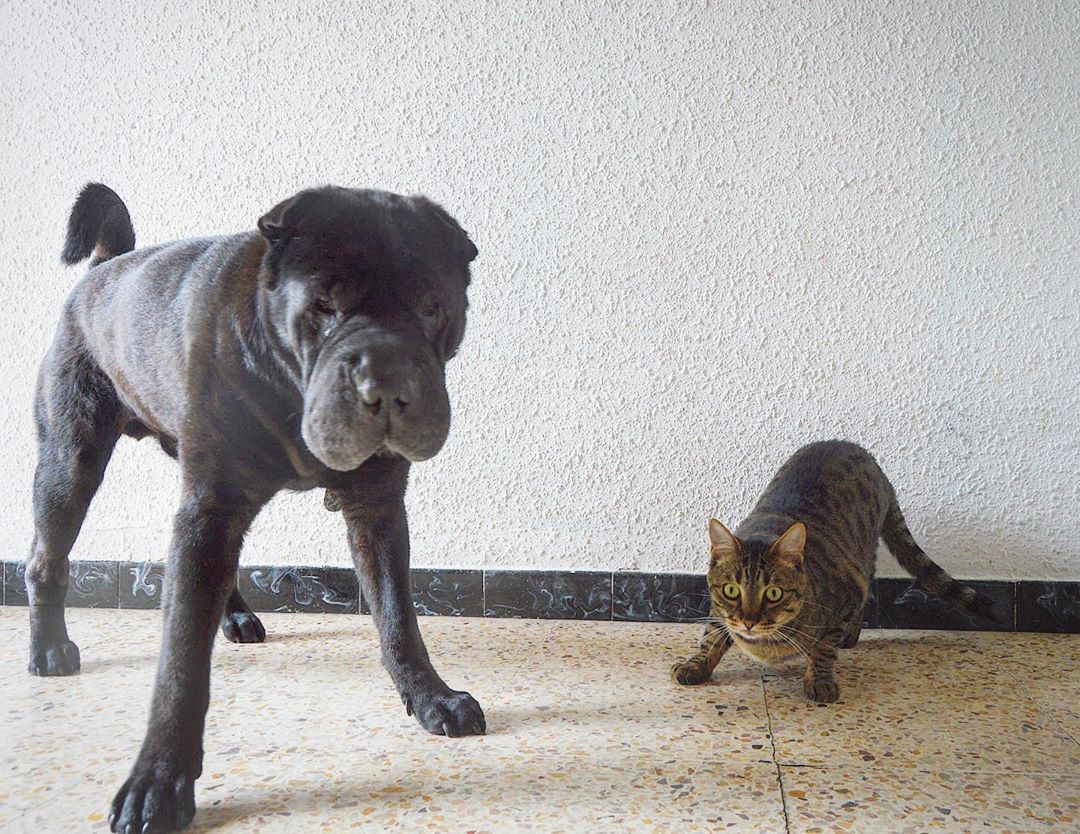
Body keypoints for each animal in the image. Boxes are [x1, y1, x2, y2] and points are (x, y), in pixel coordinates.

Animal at [26, 180, 481, 825]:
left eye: (429, 306)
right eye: (323, 305)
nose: (385, 379)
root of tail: (102, 268)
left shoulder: (377, 510)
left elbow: (398, 618)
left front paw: (430, 697)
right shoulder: (210, 505)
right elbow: (180, 663)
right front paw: (157, 781)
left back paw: (233, 614)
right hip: (73, 462)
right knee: (47, 560)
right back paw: (48, 649)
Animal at [669, 440, 997, 700]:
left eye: (773, 593)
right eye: (731, 590)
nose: (748, 622)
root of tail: (870, 459)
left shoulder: (848, 594)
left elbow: (825, 647)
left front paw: (820, 679)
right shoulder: (718, 609)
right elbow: (711, 635)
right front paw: (696, 664)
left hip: (863, 554)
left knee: (870, 583)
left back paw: (851, 635)